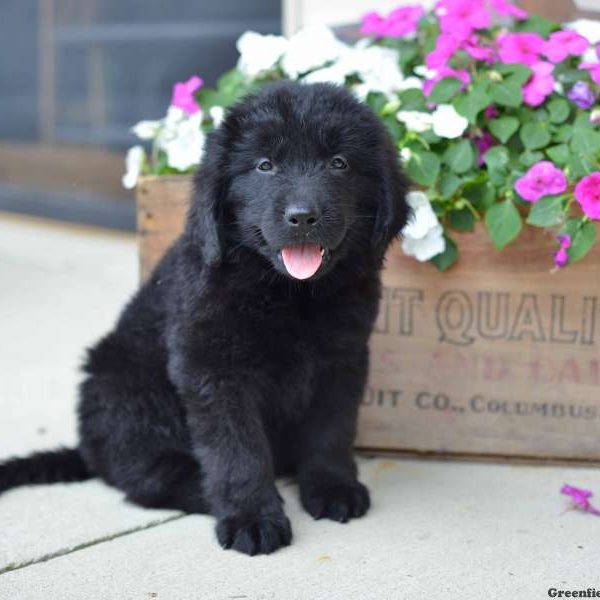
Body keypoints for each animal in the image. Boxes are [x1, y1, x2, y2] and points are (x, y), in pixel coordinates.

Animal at [0, 82, 408, 556]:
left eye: (339, 163)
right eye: (264, 165)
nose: (303, 216)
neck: (287, 294)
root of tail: (88, 451)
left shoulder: (343, 359)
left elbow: (332, 428)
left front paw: (332, 487)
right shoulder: (213, 369)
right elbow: (238, 450)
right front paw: (252, 516)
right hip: (125, 390)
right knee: (145, 476)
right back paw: (209, 493)